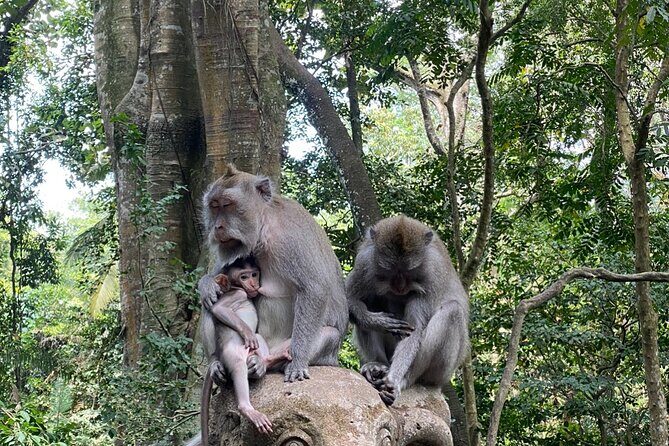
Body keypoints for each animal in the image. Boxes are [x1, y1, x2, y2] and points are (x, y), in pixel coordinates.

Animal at [198, 165, 347, 386]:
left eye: (227, 204)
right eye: (214, 206)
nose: (217, 227)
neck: (265, 225)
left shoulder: (289, 238)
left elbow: (314, 289)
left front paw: (298, 361)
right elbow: (220, 275)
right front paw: (206, 284)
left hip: (317, 353)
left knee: (329, 333)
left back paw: (264, 365)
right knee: (211, 303)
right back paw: (217, 362)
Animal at [346, 215, 470, 406]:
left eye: (409, 271)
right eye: (389, 270)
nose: (399, 286)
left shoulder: (432, 278)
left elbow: (414, 331)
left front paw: (395, 380)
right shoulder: (364, 264)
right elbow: (348, 297)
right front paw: (378, 322)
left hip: (442, 373)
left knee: (452, 311)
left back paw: (404, 380)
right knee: (369, 301)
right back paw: (377, 365)